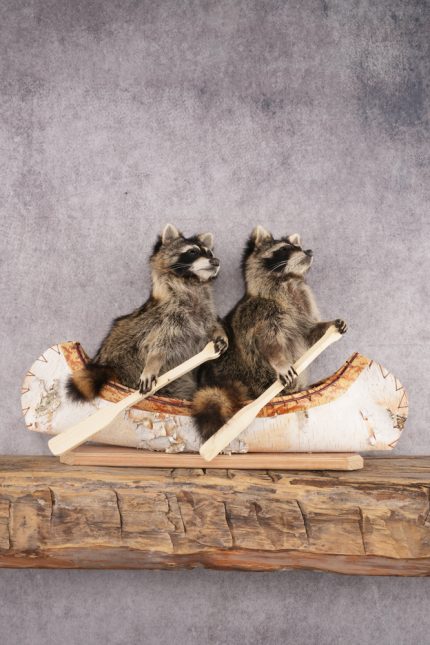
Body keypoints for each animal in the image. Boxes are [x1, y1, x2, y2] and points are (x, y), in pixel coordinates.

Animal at [67, 224, 228, 403]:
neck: (190, 282)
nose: (216, 261)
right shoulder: (167, 318)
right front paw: (152, 363)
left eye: (210, 253)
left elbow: (213, 323)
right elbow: (158, 345)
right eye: (192, 251)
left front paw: (219, 332)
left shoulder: (205, 312)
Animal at [192, 225, 347, 440]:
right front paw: (280, 362)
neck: (287, 280)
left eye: (300, 247)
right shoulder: (260, 313)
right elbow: (269, 343)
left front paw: (329, 326)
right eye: (285, 249)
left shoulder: (303, 306)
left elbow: (310, 333)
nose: (309, 252)